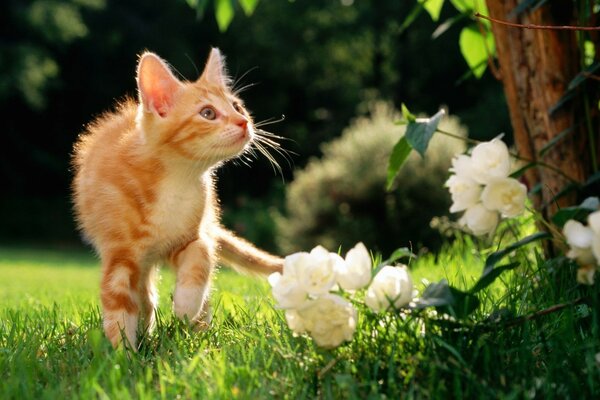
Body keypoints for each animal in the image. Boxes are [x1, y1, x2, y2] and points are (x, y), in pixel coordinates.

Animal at [72, 47, 284, 350]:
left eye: (237, 107)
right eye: (207, 113)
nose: (244, 122)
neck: (176, 179)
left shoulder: (190, 235)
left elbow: (202, 255)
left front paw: (185, 306)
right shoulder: (120, 253)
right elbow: (118, 301)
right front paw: (122, 354)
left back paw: (198, 329)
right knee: (144, 292)